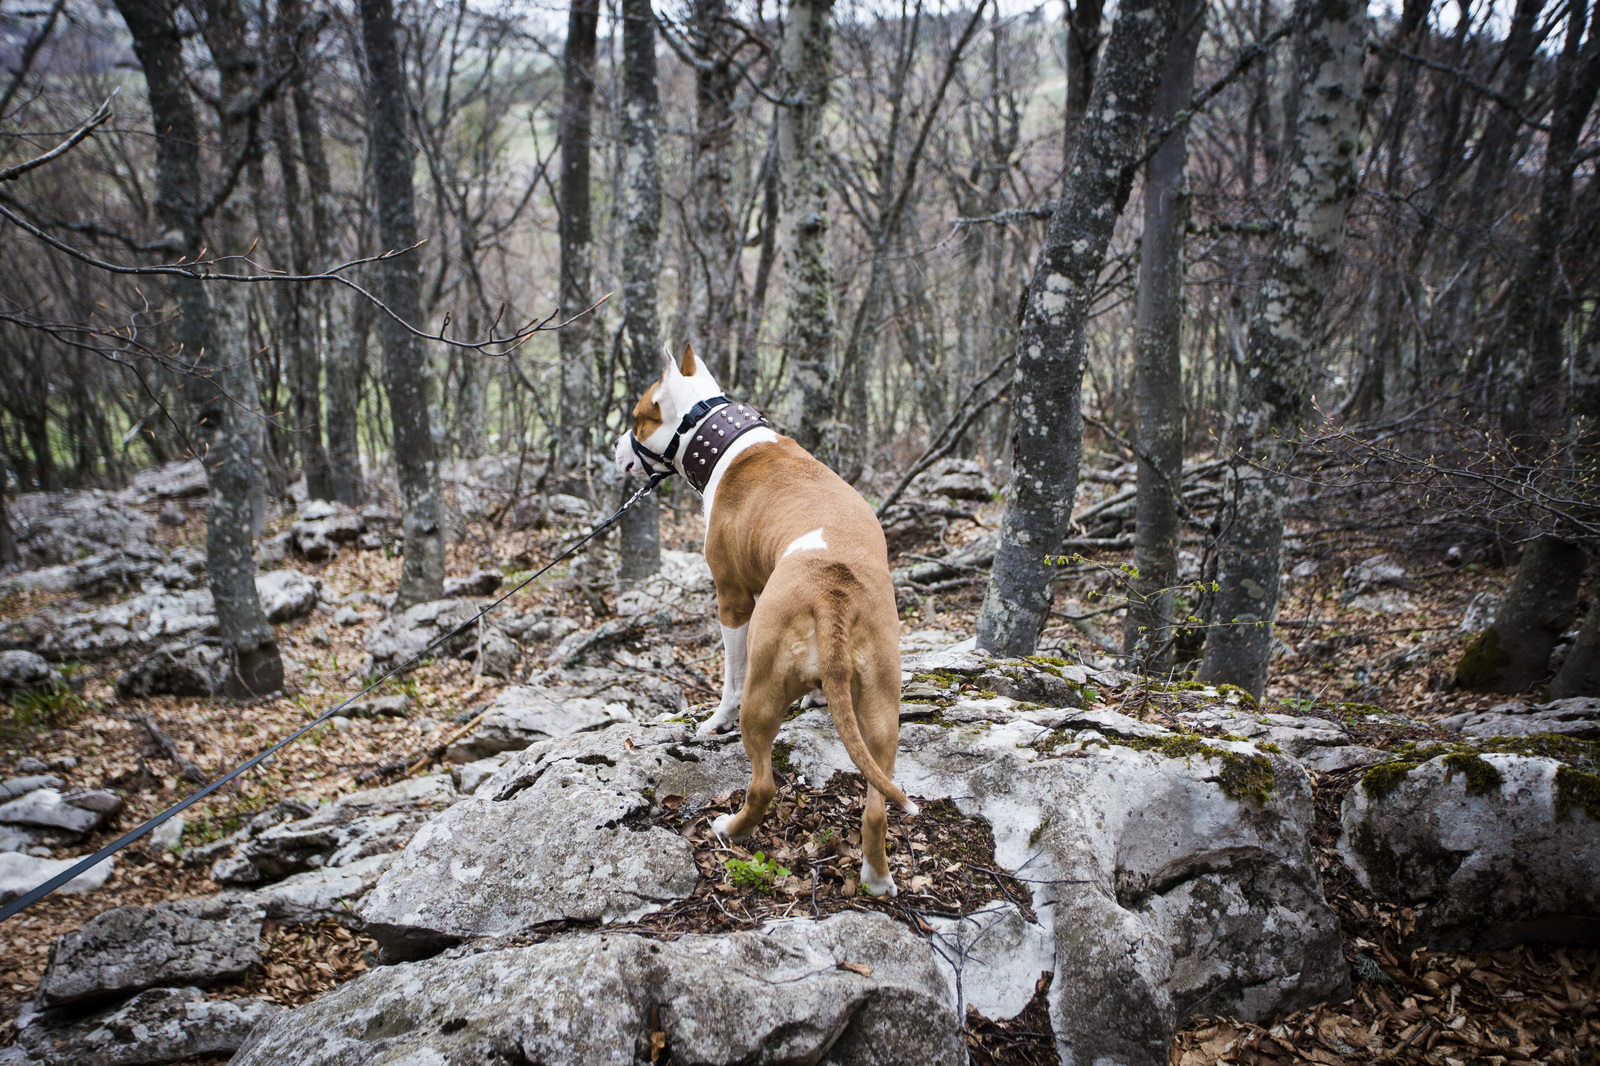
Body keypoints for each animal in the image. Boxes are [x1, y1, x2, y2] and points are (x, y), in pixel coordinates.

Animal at [611, 344, 915, 889]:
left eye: (637, 418)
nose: (612, 449)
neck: (728, 440)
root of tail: (832, 593)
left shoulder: (733, 599)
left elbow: (729, 678)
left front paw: (713, 722)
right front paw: (818, 697)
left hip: (764, 694)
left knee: (763, 785)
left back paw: (728, 829)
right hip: (881, 712)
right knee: (877, 807)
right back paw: (877, 879)